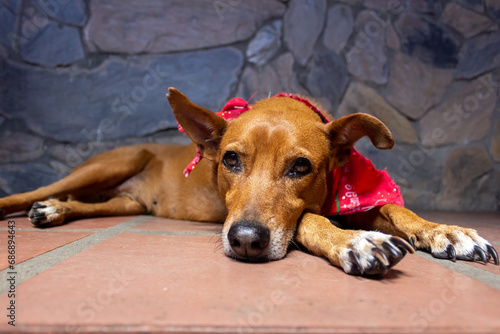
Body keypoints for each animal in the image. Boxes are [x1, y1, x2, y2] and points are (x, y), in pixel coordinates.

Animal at [1, 87, 498, 276]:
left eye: (301, 167)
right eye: (231, 159)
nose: (244, 241)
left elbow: (395, 207)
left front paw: (448, 232)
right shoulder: (300, 216)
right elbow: (307, 221)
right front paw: (355, 242)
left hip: (128, 204)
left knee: (88, 202)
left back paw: (58, 211)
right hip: (112, 164)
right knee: (33, 191)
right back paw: (36, 203)